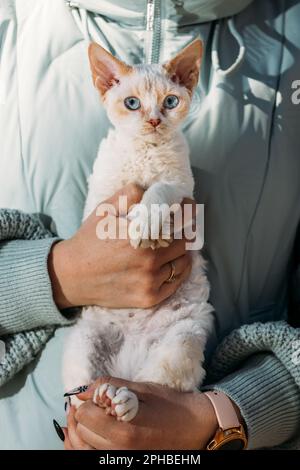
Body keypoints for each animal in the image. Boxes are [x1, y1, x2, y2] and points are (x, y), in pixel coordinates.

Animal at [62, 40, 213, 422]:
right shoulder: (102, 194)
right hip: (83, 341)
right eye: (132, 103)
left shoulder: (181, 188)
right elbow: (114, 206)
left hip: (183, 338)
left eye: (170, 102)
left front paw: (149, 225)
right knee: (82, 395)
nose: (154, 120)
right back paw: (105, 399)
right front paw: (138, 223)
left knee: (155, 388)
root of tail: (125, 369)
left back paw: (123, 402)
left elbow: (157, 191)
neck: (146, 152)